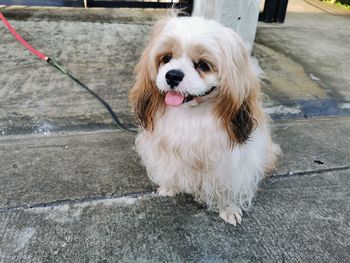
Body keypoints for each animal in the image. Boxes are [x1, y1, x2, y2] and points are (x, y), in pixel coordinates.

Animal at [130, 14, 280, 226]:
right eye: (166, 58)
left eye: (203, 65)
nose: (172, 75)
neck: (192, 113)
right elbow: (170, 169)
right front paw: (170, 187)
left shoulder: (230, 163)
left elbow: (228, 187)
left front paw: (228, 208)